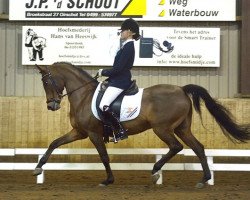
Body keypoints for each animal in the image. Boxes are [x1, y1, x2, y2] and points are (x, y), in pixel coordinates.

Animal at [33, 62, 250, 188]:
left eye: (46, 82)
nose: (52, 106)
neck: (84, 95)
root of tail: (181, 89)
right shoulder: (79, 132)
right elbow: (54, 143)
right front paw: (37, 168)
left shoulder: (93, 133)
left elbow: (104, 156)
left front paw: (108, 180)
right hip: (182, 128)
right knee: (198, 147)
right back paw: (204, 179)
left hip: (162, 128)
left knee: (176, 146)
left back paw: (155, 171)